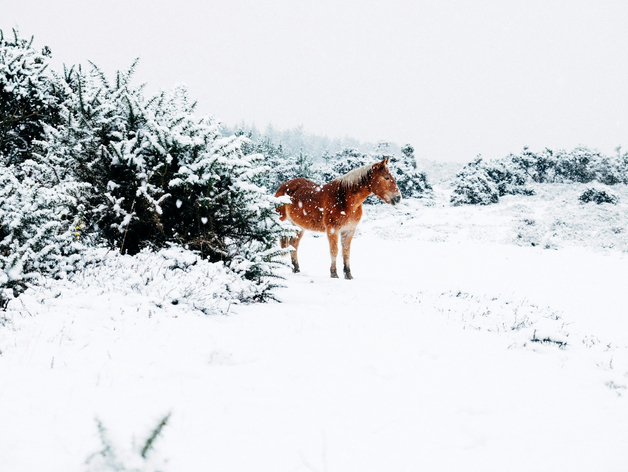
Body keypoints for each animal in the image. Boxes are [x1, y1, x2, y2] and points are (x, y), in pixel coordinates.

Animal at [274, 157, 402, 278]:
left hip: (298, 227)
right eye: (386, 178)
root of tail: (283, 186)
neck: (345, 200)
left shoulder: (349, 230)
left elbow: (346, 253)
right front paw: (334, 274)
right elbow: (334, 251)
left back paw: (296, 269)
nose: (398, 198)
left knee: (294, 245)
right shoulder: (332, 230)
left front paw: (348, 275)